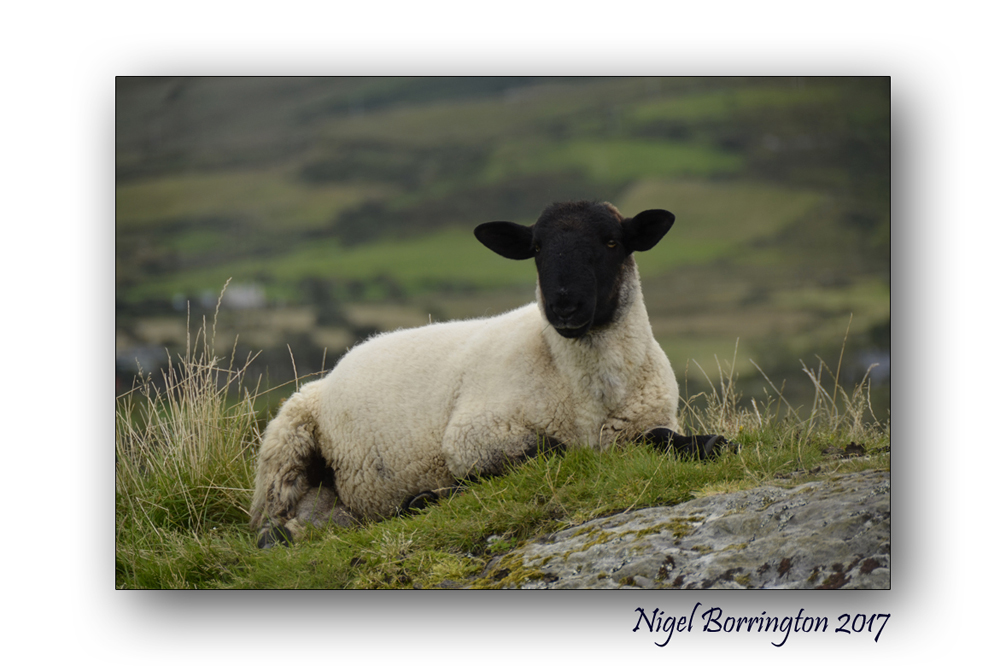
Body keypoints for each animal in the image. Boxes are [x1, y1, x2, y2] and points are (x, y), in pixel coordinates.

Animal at [250, 200, 730, 547]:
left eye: (612, 242)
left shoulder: (650, 418)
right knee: (274, 522)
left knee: (332, 519)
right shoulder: (473, 437)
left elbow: (665, 439)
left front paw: (709, 443)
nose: (564, 306)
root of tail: (336, 369)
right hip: (286, 447)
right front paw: (437, 494)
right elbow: (554, 451)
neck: (588, 391)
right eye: (536, 248)